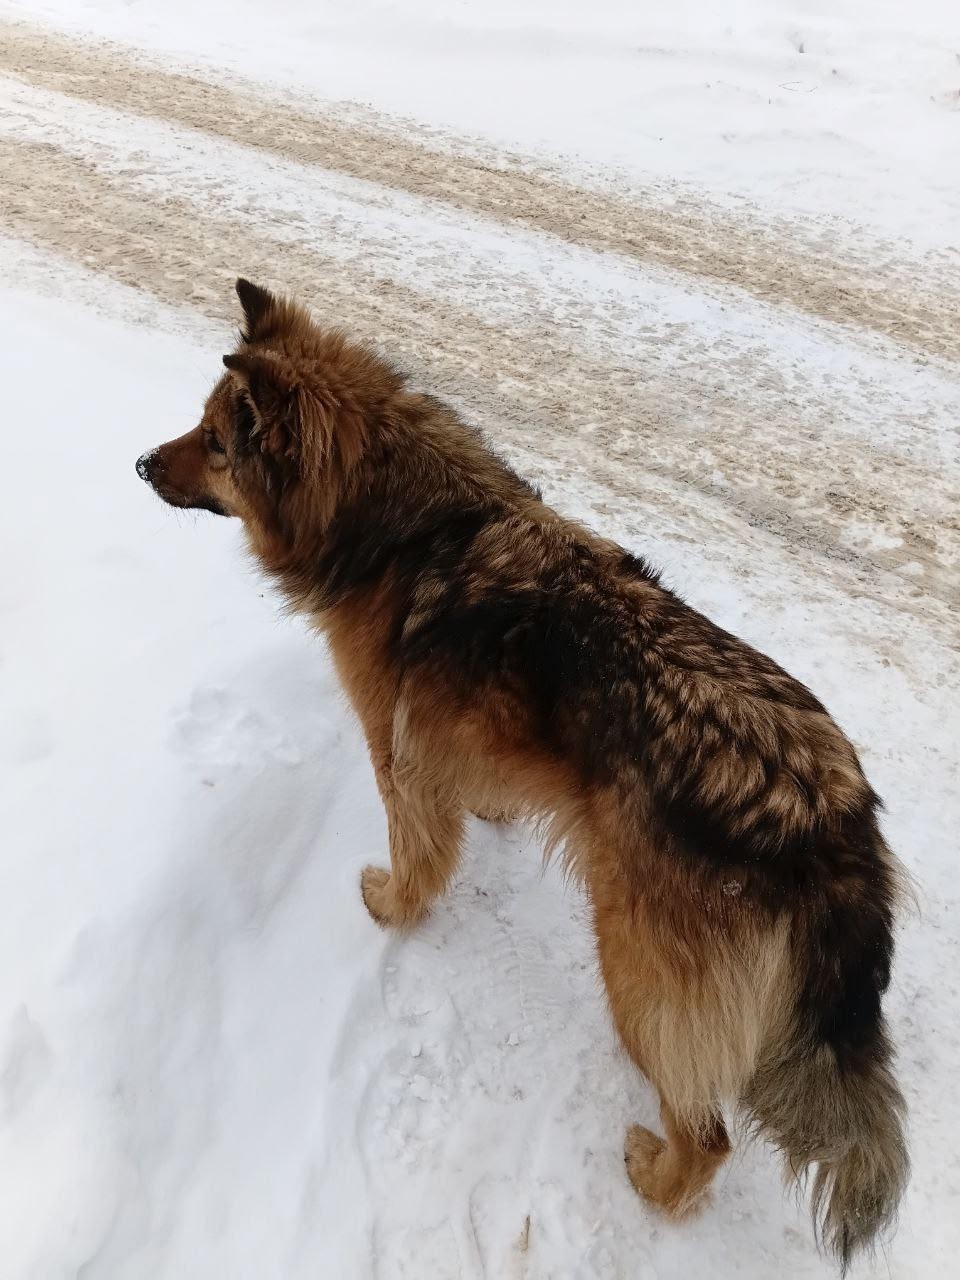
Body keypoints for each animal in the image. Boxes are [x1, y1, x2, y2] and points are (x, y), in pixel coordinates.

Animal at [137, 280, 908, 1267]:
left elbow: (418, 854)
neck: (405, 528)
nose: (140, 464)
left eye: (216, 444)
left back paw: (657, 1179)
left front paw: (393, 906)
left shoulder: (396, 752)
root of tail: (831, 818)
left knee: (709, 1134)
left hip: (634, 966)